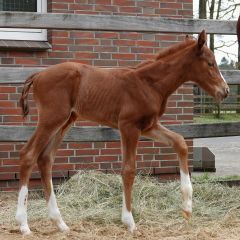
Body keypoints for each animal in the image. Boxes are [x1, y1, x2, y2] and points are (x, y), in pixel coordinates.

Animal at [15, 30, 229, 234]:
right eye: (210, 63)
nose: (225, 91)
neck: (149, 83)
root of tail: (38, 75)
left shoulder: (149, 126)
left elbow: (180, 142)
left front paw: (187, 208)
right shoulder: (129, 126)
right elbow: (128, 169)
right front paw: (129, 221)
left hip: (65, 121)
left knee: (45, 159)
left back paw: (60, 223)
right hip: (51, 119)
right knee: (28, 155)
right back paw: (24, 224)